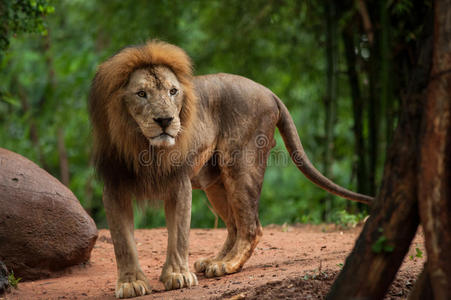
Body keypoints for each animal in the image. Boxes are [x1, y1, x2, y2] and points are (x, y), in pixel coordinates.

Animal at [87, 40, 370, 298]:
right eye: (141, 94)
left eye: (173, 91)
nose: (165, 120)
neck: (144, 146)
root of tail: (268, 91)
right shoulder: (114, 186)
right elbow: (122, 240)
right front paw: (131, 283)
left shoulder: (179, 182)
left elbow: (178, 234)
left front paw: (178, 276)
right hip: (215, 183)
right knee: (234, 225)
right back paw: (214, 261)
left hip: (241, 165)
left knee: (251, 227)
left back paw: (227, 264)